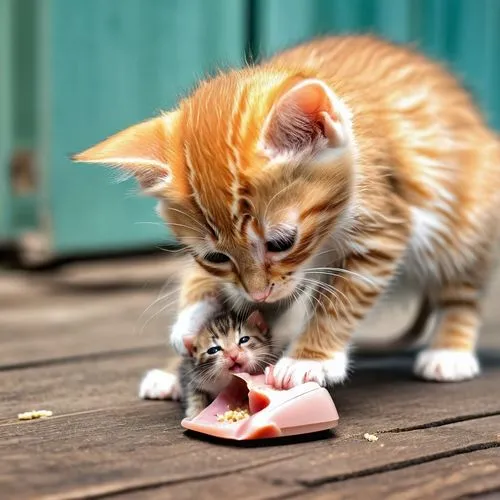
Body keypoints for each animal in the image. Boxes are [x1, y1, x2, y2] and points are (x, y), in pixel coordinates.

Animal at [74, 37, 500, 392]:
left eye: (282, 242)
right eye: (216, 256)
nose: (258, 291)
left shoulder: (384, 228)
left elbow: (341, 301)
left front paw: (309, 360)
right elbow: (220, 296)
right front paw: (191, 320)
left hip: (468, 219)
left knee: (463, 288)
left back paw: (450, 351)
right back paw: (172, 374)